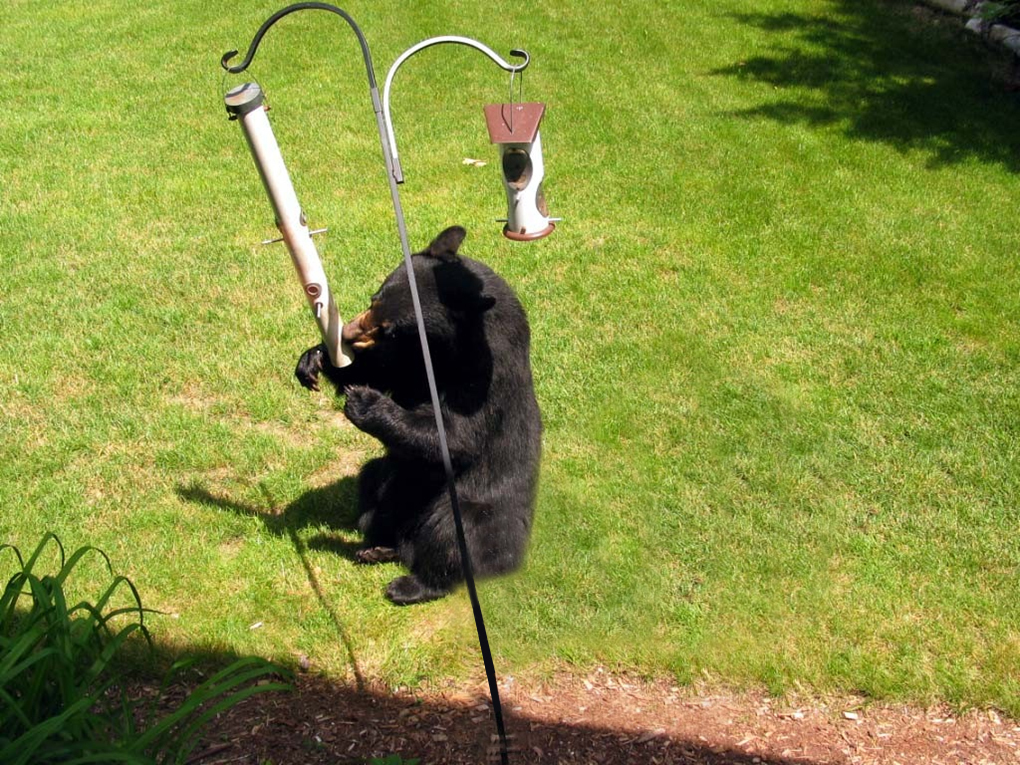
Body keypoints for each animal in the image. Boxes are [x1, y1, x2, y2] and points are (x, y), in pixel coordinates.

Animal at [295, 224, 542, 607]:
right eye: (374, 299)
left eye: (390, 326)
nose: (348, 332)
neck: (446, 349)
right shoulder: (413, 359)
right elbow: (387, 370)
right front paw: (316, 358)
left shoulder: (485, 377)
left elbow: (456, 434)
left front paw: (365, 402)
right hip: (391, 479)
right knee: (373, 484)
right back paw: (379, 547)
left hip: (475, 510)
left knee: (453, 535)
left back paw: (409, 585)